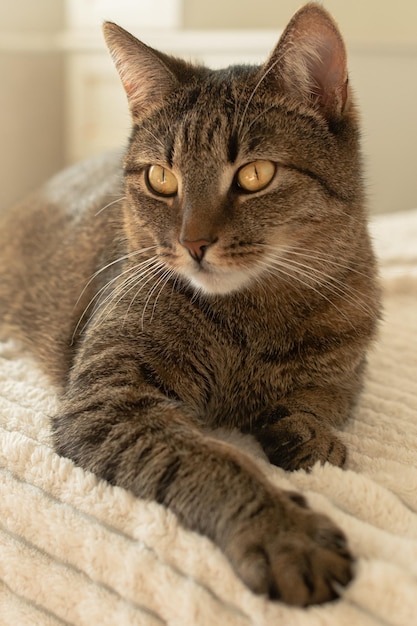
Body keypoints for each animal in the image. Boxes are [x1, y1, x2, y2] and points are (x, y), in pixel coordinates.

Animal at [0, 1, 378, 604]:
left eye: (254, 174)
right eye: (161, 177)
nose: (193, 243)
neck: (254, 322)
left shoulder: (345, 370)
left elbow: (319, 404)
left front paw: (309, 437)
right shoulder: (109, 401)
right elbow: (210, 459)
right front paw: (283, 531)